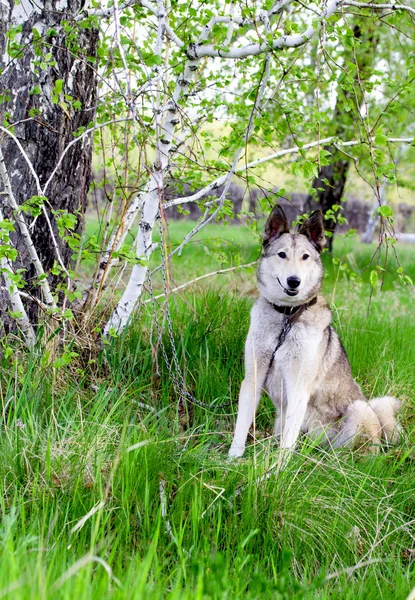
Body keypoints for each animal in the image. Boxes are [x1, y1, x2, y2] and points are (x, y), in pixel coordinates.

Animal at [229, 204, 402, 458]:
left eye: (305, 256)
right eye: (282, 254)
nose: (294, 281)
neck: (286, 318)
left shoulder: (298, 388)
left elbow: (287, 444)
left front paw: (278, 467)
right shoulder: (253, 377)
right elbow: (242, 423)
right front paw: (233, 457)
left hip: (359, 410)